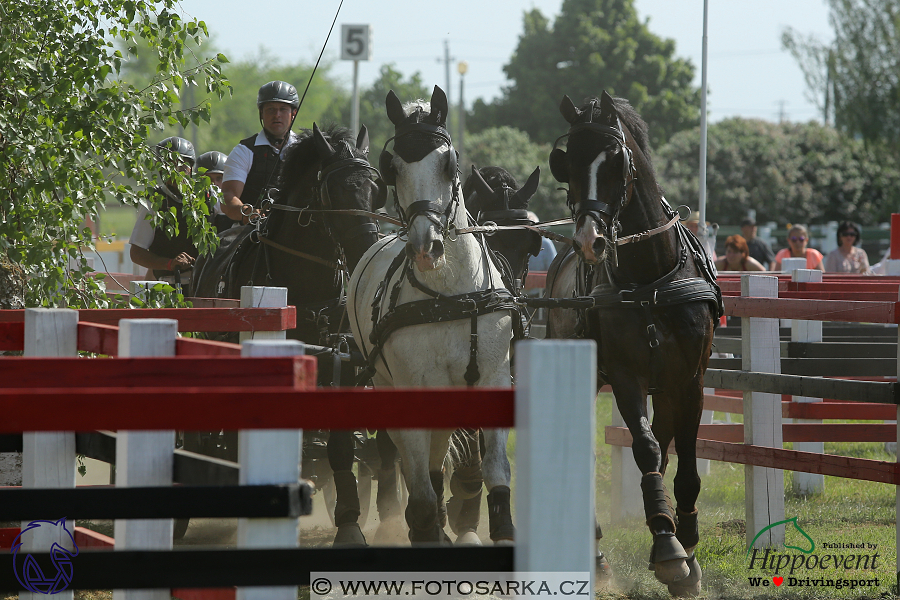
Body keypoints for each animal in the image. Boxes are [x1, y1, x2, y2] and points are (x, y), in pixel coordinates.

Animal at [544, 92, 720, 596]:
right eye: (567, 161)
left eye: (614, 160)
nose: (589, 240)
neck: (651, 279)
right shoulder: (626, 378)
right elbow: (646, 449)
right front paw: (666, 545)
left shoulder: (689, 381)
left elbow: (684, 458)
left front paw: (688, 543)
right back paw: (597, 557)